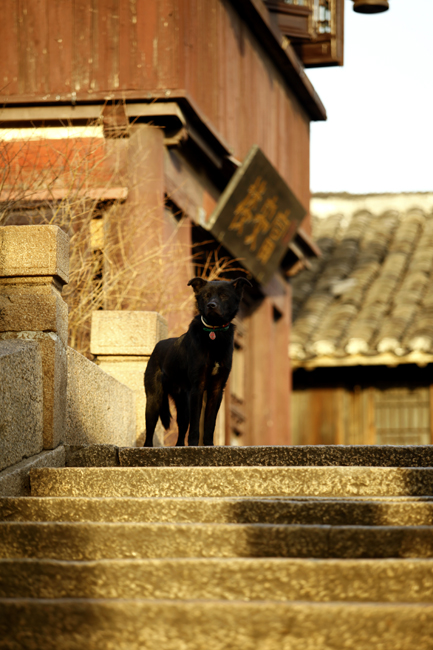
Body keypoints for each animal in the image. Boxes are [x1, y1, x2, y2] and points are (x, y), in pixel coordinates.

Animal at [143, 274, 250, 446]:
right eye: (206, 296)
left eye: (224, 295)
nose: (211, 305)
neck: (214, 333)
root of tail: (158, 345)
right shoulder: (197, 387)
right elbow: (196, 424)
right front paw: (194, 444)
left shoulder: (216, 389)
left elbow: (210, 423)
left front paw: (208, 445)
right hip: (155, 399)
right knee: (150, 428)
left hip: (183, 403)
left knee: (181, 427)